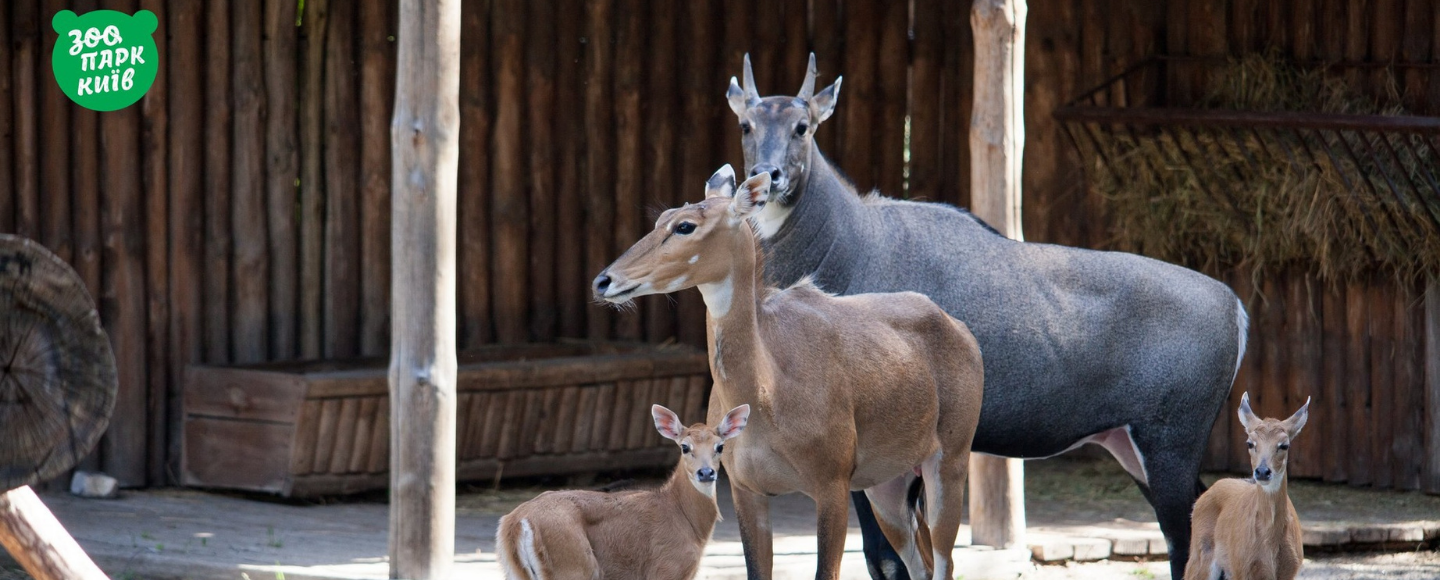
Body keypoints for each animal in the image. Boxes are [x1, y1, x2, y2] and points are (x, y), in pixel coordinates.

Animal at [498, 402, 754, 580]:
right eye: (684, 447)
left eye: (720, 447)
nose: (706, 473)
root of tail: (517, 522)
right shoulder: (666, 567)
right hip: (572, 564)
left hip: (517, 571)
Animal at [590, 166, 984, 580]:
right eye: (661, 219)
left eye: (684, 226)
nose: (603, 281)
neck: (767, 392)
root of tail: (961, 331)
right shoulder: (747, 492)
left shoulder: (832, 487)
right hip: (887, 487)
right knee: (920, 565)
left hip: (948, 465)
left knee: (944, 562)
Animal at [725, 52, 1244, 578]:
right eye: (746, 124)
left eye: (802, 126)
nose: (766, 176)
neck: (850, 242)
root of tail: (1235, 306)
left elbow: (888, 557)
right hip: (1130, 445)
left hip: (1170, 444)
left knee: (1184, 537)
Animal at [1186, 394, 1313, 580]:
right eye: (1250, 443)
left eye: (1284, 445)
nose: (1262, 471)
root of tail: (1198, 501)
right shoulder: (1242, 567)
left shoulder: (1289, 570)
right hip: (1201, 555)